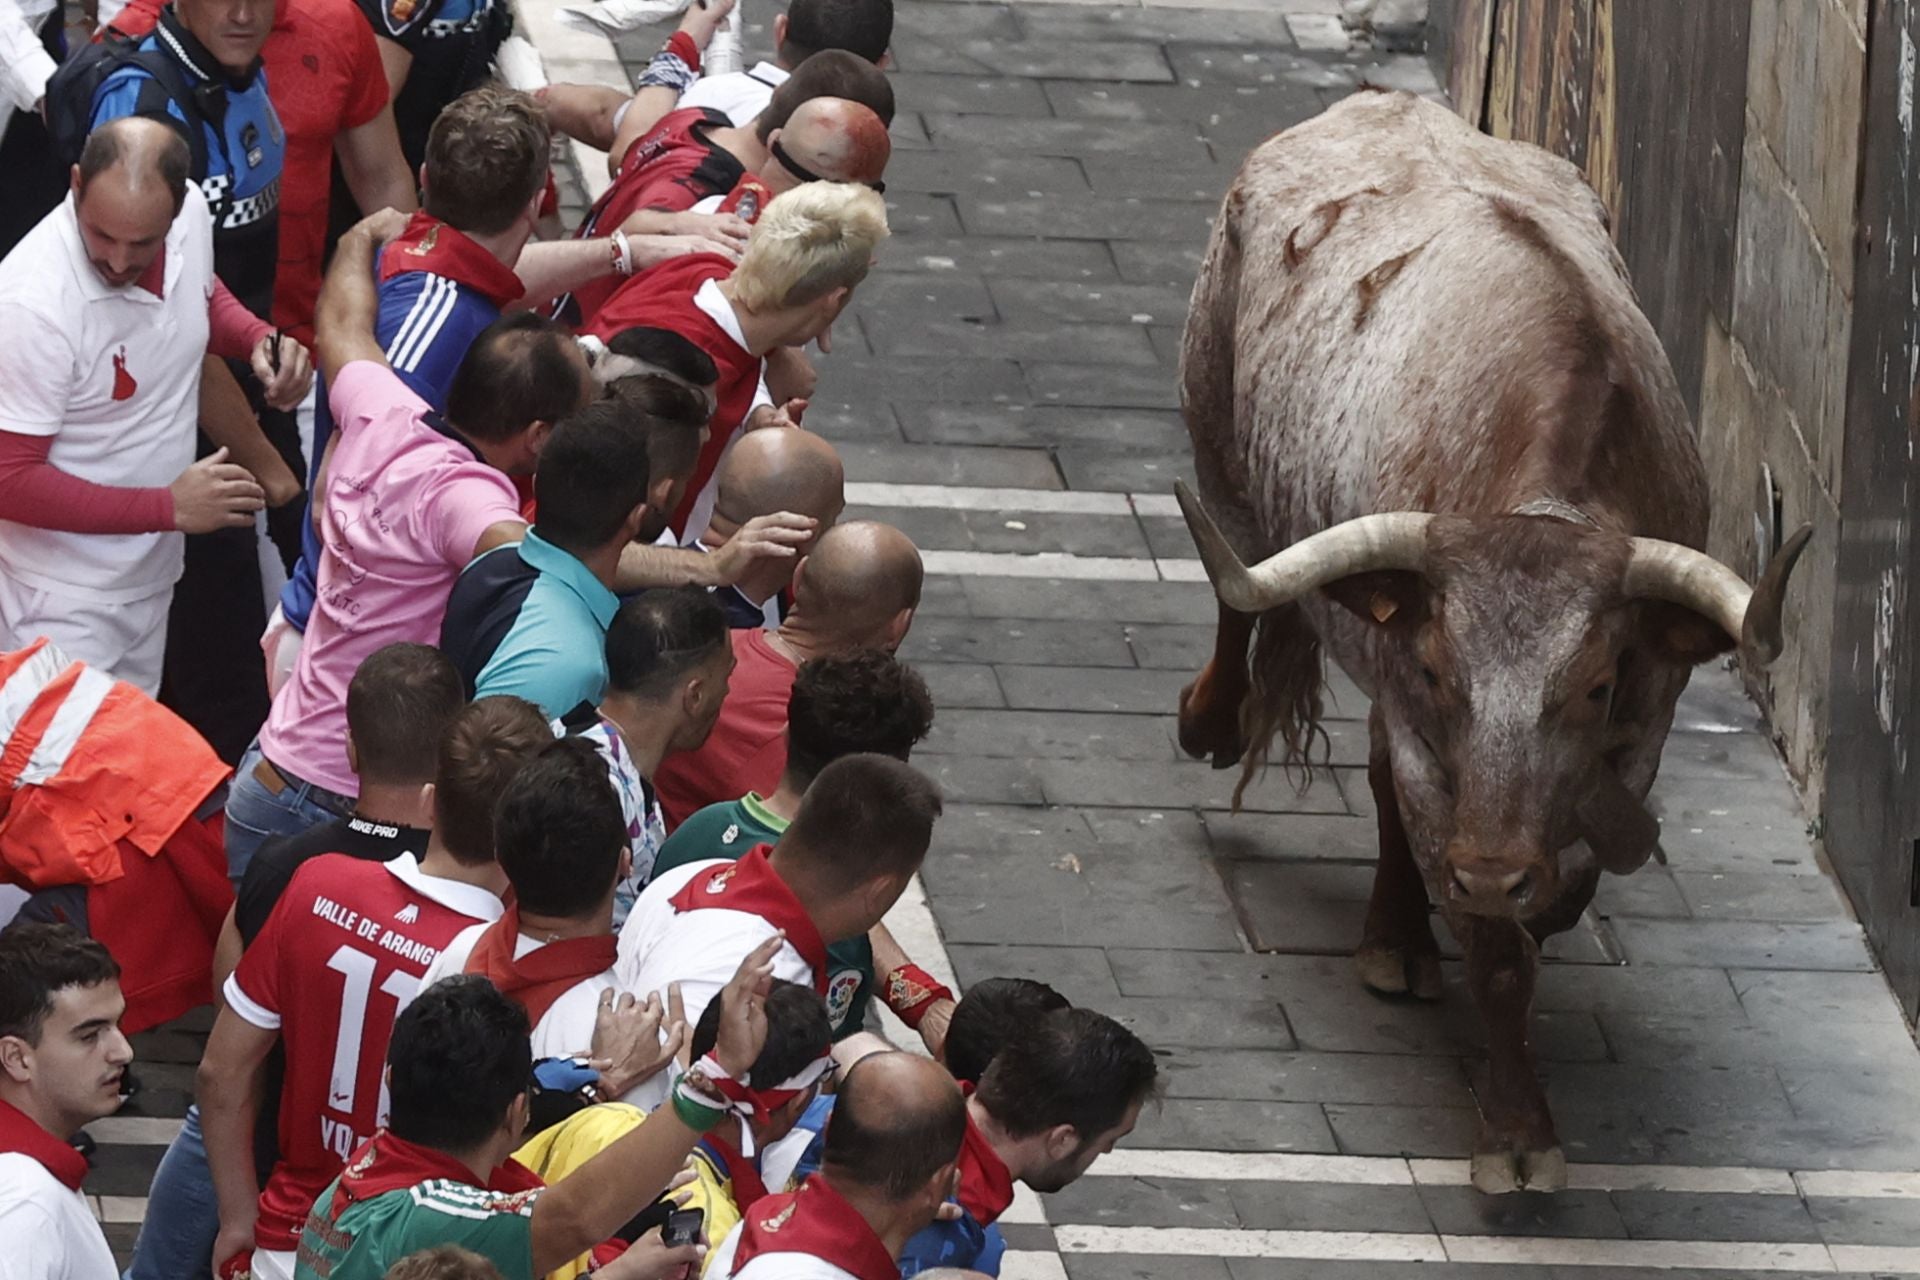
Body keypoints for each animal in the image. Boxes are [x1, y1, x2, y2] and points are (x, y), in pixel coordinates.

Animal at [1175, 92, 1804, 1205]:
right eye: (1440, 668)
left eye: (1595, 685)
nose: (1488, 869)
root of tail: (1375, 101)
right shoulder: (1427, 735)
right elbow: (1498, 953)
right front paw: (1517, 1131)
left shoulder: (1642, 731)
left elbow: (1561, 889)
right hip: (1217, 441)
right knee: (1241, 582)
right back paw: (1225, 733)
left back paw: (1400, 934)